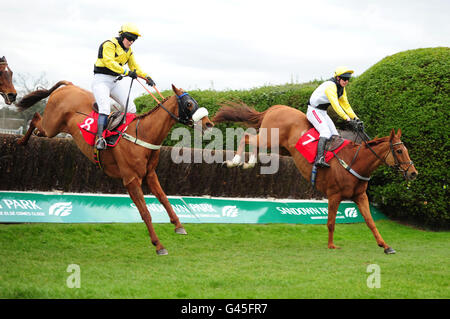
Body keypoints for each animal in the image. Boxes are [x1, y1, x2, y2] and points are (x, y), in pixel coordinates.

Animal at [15, 81, 214, 256]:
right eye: (189, 104)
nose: (208, 124)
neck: (143, 134)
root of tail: (69, 86)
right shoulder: (131, 180)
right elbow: (145, 213)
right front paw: (159, 245)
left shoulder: (150, 175)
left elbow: (165, 199)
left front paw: (178, 225)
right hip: (51, 127)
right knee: (35, 119)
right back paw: (21, 141)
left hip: (52, 128)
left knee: (37, 124)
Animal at [214, 105, 418, 255]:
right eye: (399, 151)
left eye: (406, 150)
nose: (413, 173)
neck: (354, 161)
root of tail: (276, 107)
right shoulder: (334, 195)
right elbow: (331, 222)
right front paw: (331, 245)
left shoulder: (360, 196)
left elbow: (370, 222)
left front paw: (386, 246)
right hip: (270, 138)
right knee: (247, 137)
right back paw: (234, 161)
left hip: (276, 145)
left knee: (253, 143)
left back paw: (248, 163)